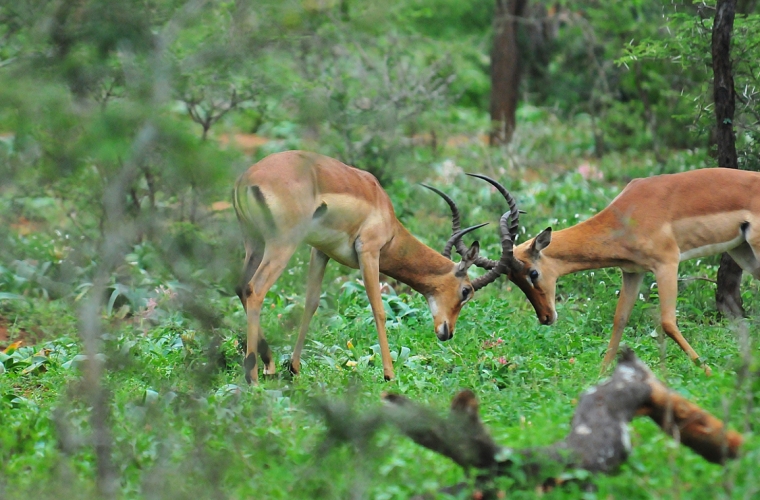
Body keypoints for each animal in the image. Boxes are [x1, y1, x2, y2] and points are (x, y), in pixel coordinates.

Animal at [232, 150, 516, 380]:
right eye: (466, 291)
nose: (447, 333)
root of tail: (246, 179)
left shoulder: (320, 251)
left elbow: (311, 303)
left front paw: (294, 367)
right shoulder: (368, 252)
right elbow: (378, 310)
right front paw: (389, 374)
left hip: (254, 244)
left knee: (241, 287)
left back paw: (268, 365)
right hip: (283, 245)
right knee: (255, 290)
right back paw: (253, 377)